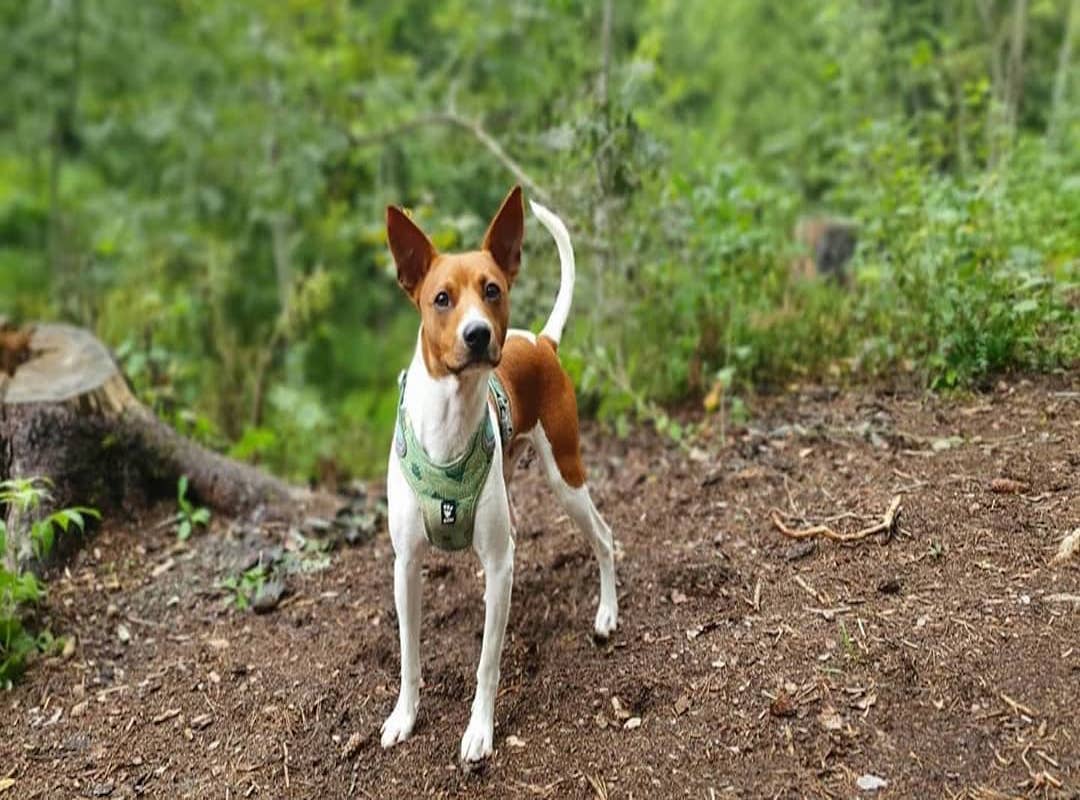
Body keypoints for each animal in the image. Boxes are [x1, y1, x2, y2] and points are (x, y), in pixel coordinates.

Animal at [382, 184, 622, 760]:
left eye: (492, 289)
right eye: (441, 299)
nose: (477, 334)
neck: (448, 423)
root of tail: (541, 341)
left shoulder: (497, 561)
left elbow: (488, 664)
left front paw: (479, 731)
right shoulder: (406, 565)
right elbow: (409, 655)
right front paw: (405, 716)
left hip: (566, 477)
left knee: (604, 537)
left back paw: (606, 613)